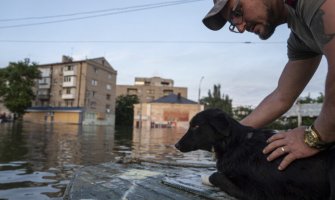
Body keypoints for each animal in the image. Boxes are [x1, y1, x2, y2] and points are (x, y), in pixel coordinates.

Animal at [176, 108, 335, 200]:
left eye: (196, 126)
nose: (176, 145)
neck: (234, 144)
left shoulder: (256, 192)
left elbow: (216, 175)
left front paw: (206, 177)